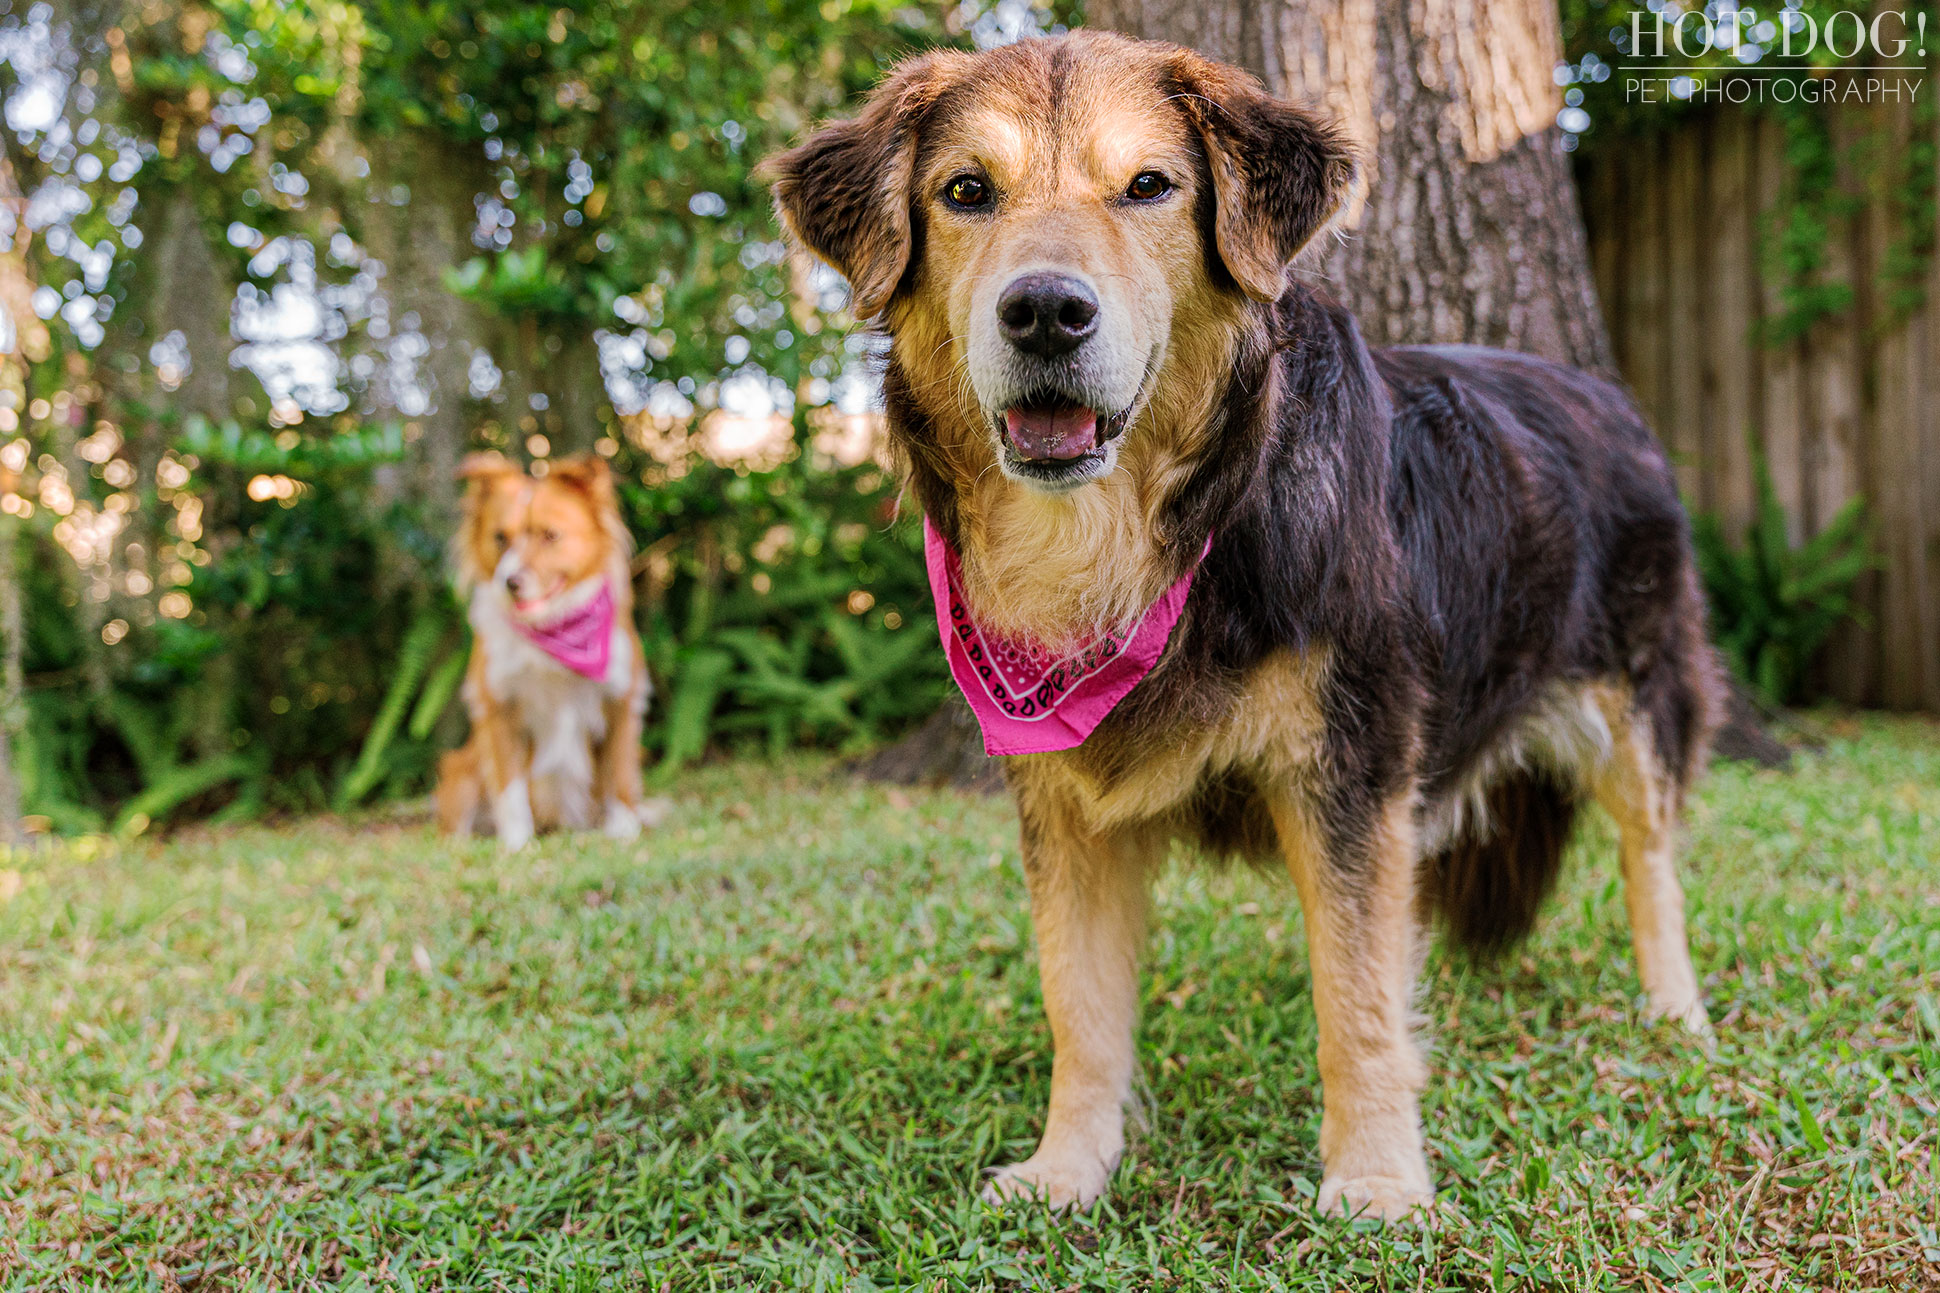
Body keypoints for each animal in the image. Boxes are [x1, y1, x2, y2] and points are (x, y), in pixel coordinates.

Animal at [434, 450, 659, 846]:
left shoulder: (622, 697)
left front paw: (623, 828)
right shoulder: (498, 706)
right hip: (463, 768)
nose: (510, 581)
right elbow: (509, 787)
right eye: (500, 537)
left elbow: (619, 771)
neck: (554, 630)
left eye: (551, 535)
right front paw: (517, 843)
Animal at [764, 32, 1722, 1219]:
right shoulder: (1066, 811)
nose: (1044, 312)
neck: (1156, 537)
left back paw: (1674, 1012)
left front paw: (1376, 1176)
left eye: (1147, 187)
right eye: (966, 193)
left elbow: (1355, 998)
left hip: (1636, 700)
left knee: (1651, 858)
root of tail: (1613, 399)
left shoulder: (1347, 767)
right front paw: (1068, 1168)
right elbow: (1080, 1007)